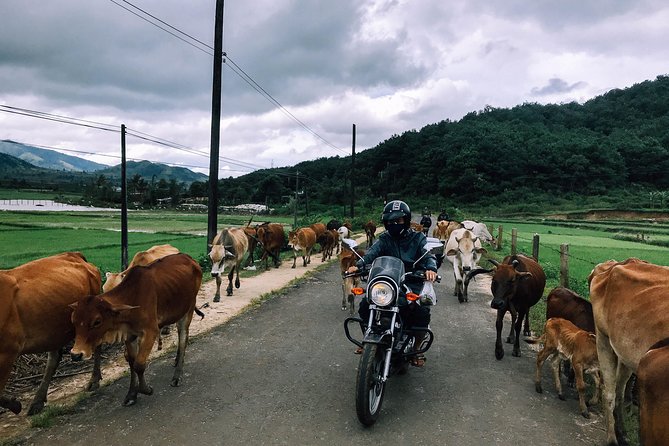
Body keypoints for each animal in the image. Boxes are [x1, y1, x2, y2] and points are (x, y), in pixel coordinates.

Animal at [0, 253, 102, 416]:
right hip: (53, 330)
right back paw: (38, 400)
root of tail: (74, 255)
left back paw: (94, 380)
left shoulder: (7, 352)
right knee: (54, 359)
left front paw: (15, 405)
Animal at [70, 253, 204, 406]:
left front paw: (146, 389)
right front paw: (132, 394)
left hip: (188, 310)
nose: (76, 354)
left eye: (97, 321)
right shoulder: (129, 335)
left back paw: (177, 376)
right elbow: (132, 363)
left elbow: (139, 365)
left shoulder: (151, 331)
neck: (132, 299)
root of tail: (189, 258)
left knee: (183, 339)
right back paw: (176, 361)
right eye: (73, 321)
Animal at [588, 258, 668, 446]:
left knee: (619, 391)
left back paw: (622, 432)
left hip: (625, 353)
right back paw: (612, 438)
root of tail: (613, 263)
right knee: (609, 391)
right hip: (603, 338)